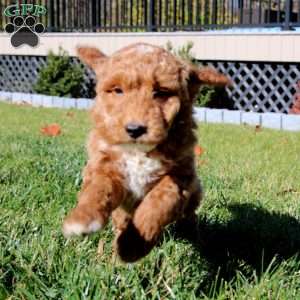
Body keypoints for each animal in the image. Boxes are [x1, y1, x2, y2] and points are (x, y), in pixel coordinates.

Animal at [62, 43, 229, 262]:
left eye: (161, 92)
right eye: (117, 91)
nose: (135, 129)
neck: (138, 153)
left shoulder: (180, 176)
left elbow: (157, 203)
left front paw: (132, 246)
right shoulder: (104, 165)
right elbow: (97, 190)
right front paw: (81, 219)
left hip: (193, 194)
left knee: (189, 216)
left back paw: (191, 234)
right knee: (122, 219)